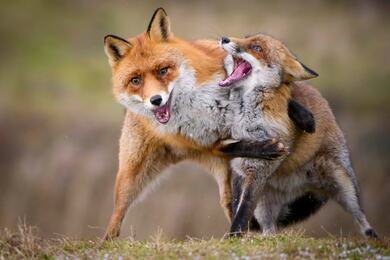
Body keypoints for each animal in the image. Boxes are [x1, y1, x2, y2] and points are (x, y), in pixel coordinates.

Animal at [103, 7, 316, 240]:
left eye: (163, 70)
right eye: (136, 81)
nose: (156, 100)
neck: (197, 105)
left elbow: (288, 97)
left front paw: (305, 117)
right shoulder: (204, 141)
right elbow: (232, 146)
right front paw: (267, 148)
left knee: (229, 202)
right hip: (131, 175)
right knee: (117, 214)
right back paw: (107, 242)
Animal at [219, 35, 378, 240]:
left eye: (257, 48)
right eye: (245, 38)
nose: (224, 38)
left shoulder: (257, 171)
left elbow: (243, 210)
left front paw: (233, 237)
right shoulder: (240, 168)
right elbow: (237, 207)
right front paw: (235, 236)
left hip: (343, 183)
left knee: (360, 215)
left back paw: (372, 237)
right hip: (265, 205)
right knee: (269, 228)